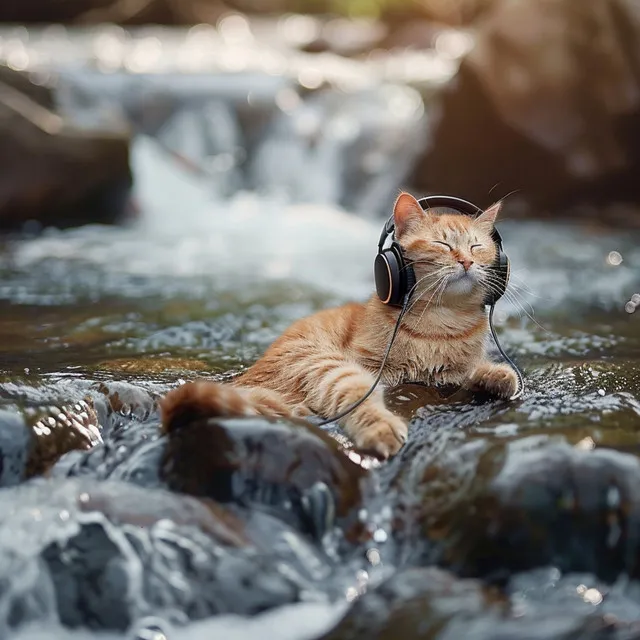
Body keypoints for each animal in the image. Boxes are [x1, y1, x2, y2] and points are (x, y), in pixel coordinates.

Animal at [160, 192, 520, 458]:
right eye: (444, 245)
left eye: (476, 246)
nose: (467, 261)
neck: (442, 322)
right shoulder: (374, 368)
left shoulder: (452, 369)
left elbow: (469, 369)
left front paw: (497, 375)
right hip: (330, 366)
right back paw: (380, 430)